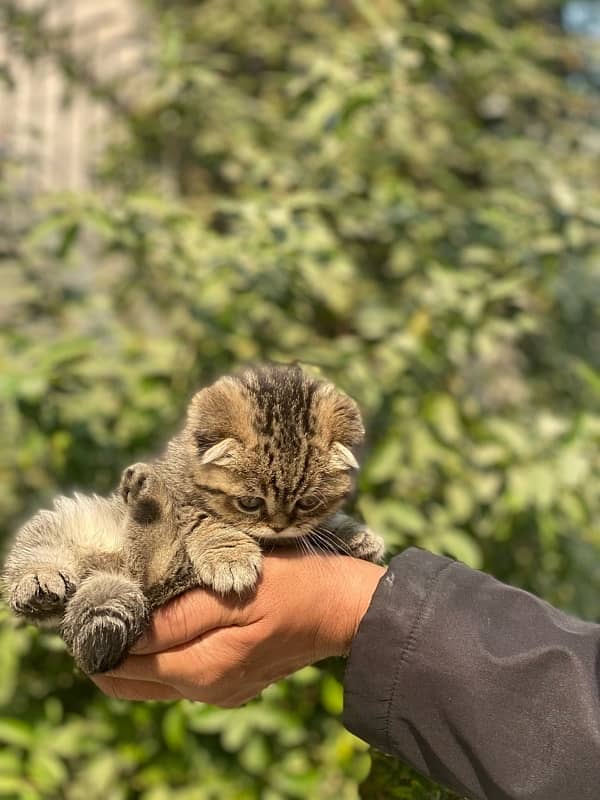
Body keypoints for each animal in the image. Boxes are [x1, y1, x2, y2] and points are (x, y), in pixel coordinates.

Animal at [1, 368, 384, 676]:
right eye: (250, 503)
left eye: (306, 503)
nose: (278, 526)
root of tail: (111, 569)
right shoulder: (185, 497)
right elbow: (201, 518)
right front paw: (230, 554)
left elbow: (320, 528)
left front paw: (356, 537)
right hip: (64, 523)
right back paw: (40, 582)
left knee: (150, 570)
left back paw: (147, 506)